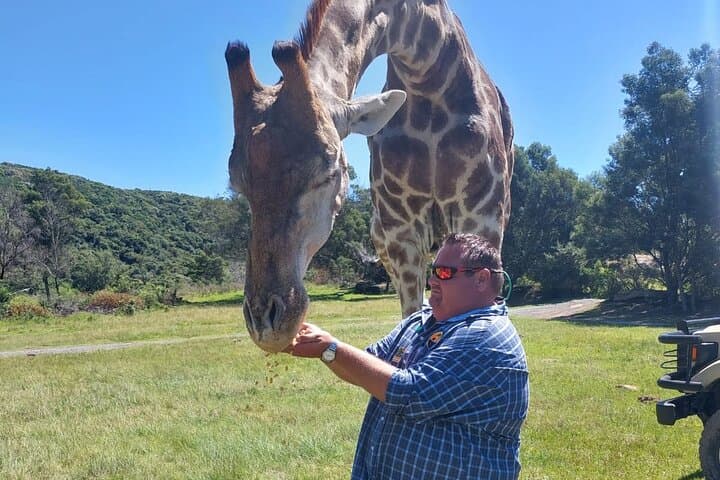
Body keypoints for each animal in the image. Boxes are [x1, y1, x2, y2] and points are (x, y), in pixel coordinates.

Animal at [226, 0, 514, 352]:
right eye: (238, 185)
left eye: (328, 173)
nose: (267, 324)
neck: (425, 71)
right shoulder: (399, 231)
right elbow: (410, 317)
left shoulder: (480, 214)